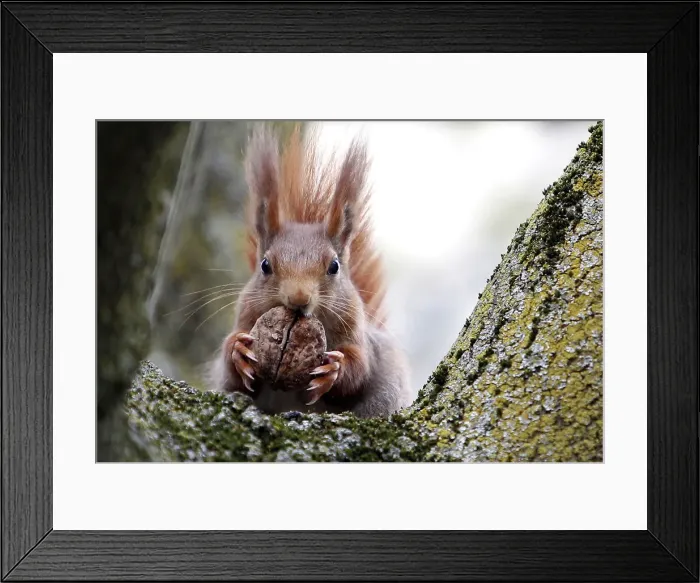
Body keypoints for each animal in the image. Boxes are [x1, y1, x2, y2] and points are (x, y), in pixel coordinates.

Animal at [211, 123, 412, 418]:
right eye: (265, 265)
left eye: (334, 266)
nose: (298, 298)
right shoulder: (246, 316)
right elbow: (232, 375)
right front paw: (238, 351)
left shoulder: (357, 333)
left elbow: (359, 368)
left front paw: (334, 370)